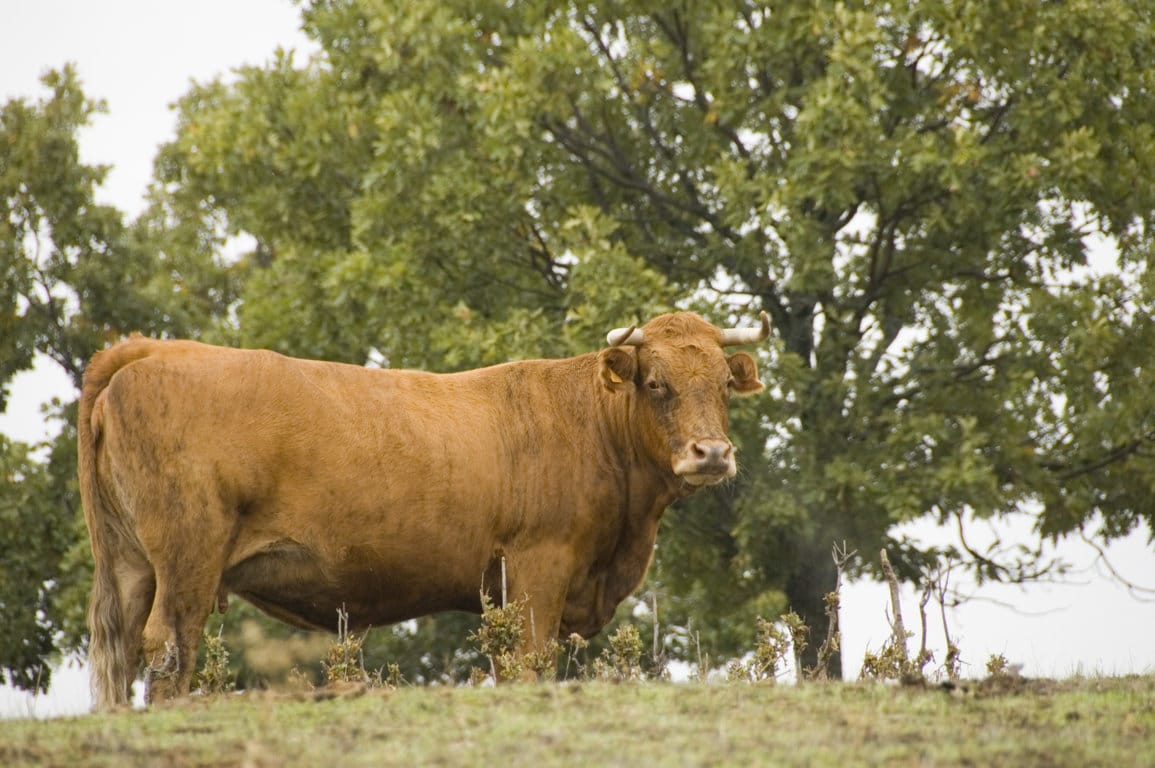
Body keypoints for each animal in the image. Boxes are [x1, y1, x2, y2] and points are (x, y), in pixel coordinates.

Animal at [79, 309, 766, 702]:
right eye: (656, 383)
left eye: (724, 384)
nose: (711, 453)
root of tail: (149, 350)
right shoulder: (539, 566)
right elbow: (528, 661)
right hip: (188, 553)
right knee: (170, 647)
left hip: (128, 562)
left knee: (118, 651)